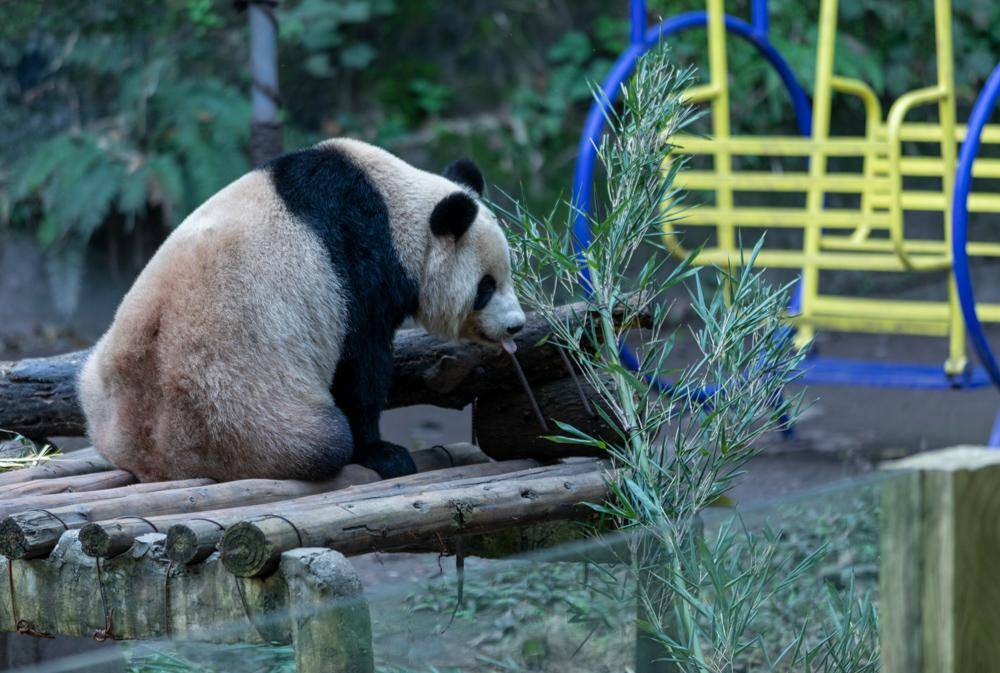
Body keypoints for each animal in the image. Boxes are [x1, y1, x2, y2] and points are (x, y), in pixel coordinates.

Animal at [77, 138, 528, 484]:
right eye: (486, 286)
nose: (516, 326)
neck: (393, 202)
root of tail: (152, 455)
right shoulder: (357, 269)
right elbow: (360, 369)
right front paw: (384, 452)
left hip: (102, 385)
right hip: (235, 414)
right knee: (321, 440)